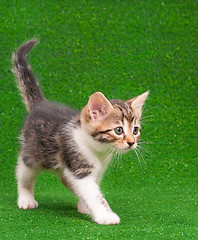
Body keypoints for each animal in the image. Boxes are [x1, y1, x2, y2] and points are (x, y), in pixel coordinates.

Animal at [12, 39, 148, 225]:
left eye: (135, 130)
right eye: (118, 130)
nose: (131, 142)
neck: (98, 151)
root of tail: (40, 105)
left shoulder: (96, 170)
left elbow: (94, 190)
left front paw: (86, 206)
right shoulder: (79, 166)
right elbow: (92, 193)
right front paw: (104, 215)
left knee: (65, 178)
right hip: (32, 152)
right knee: (24, 172)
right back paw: (25, 198)